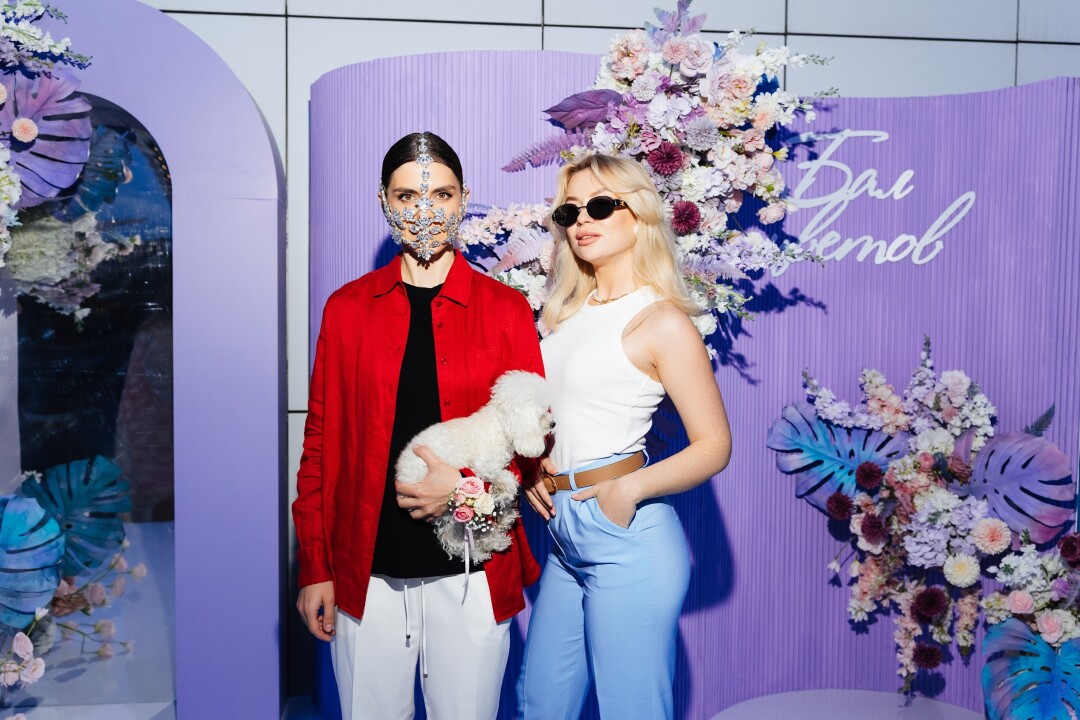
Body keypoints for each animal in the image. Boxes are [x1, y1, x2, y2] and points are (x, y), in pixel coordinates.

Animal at [396, 370, 553, 561]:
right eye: (542, 413)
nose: (553, 423)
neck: (498, 426)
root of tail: (400, 473)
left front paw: (504, 507)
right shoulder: (484, 466)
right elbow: (509, 479)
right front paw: (501, 491)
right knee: (454, 537)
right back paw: (486, 545)